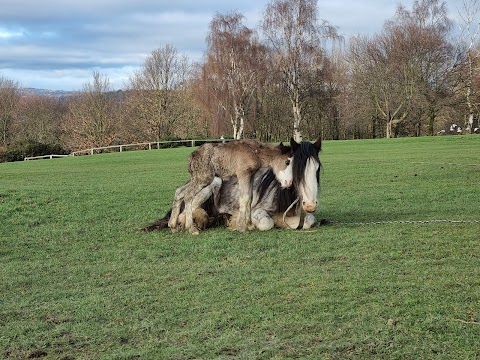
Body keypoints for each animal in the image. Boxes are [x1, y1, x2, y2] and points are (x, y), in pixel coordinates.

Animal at [144, 136, 320, 232]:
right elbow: (245, 198)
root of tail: (191, 157)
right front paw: (243, 227)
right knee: (188, 196)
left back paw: (173, 225)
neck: (254, 151)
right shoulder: (242, 173)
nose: (288, 183)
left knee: (180, 191)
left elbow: (249, 198)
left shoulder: (250, 175)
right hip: (206, 179)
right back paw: (192, 228)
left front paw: (248, 225)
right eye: (288, 161)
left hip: (199, 180)